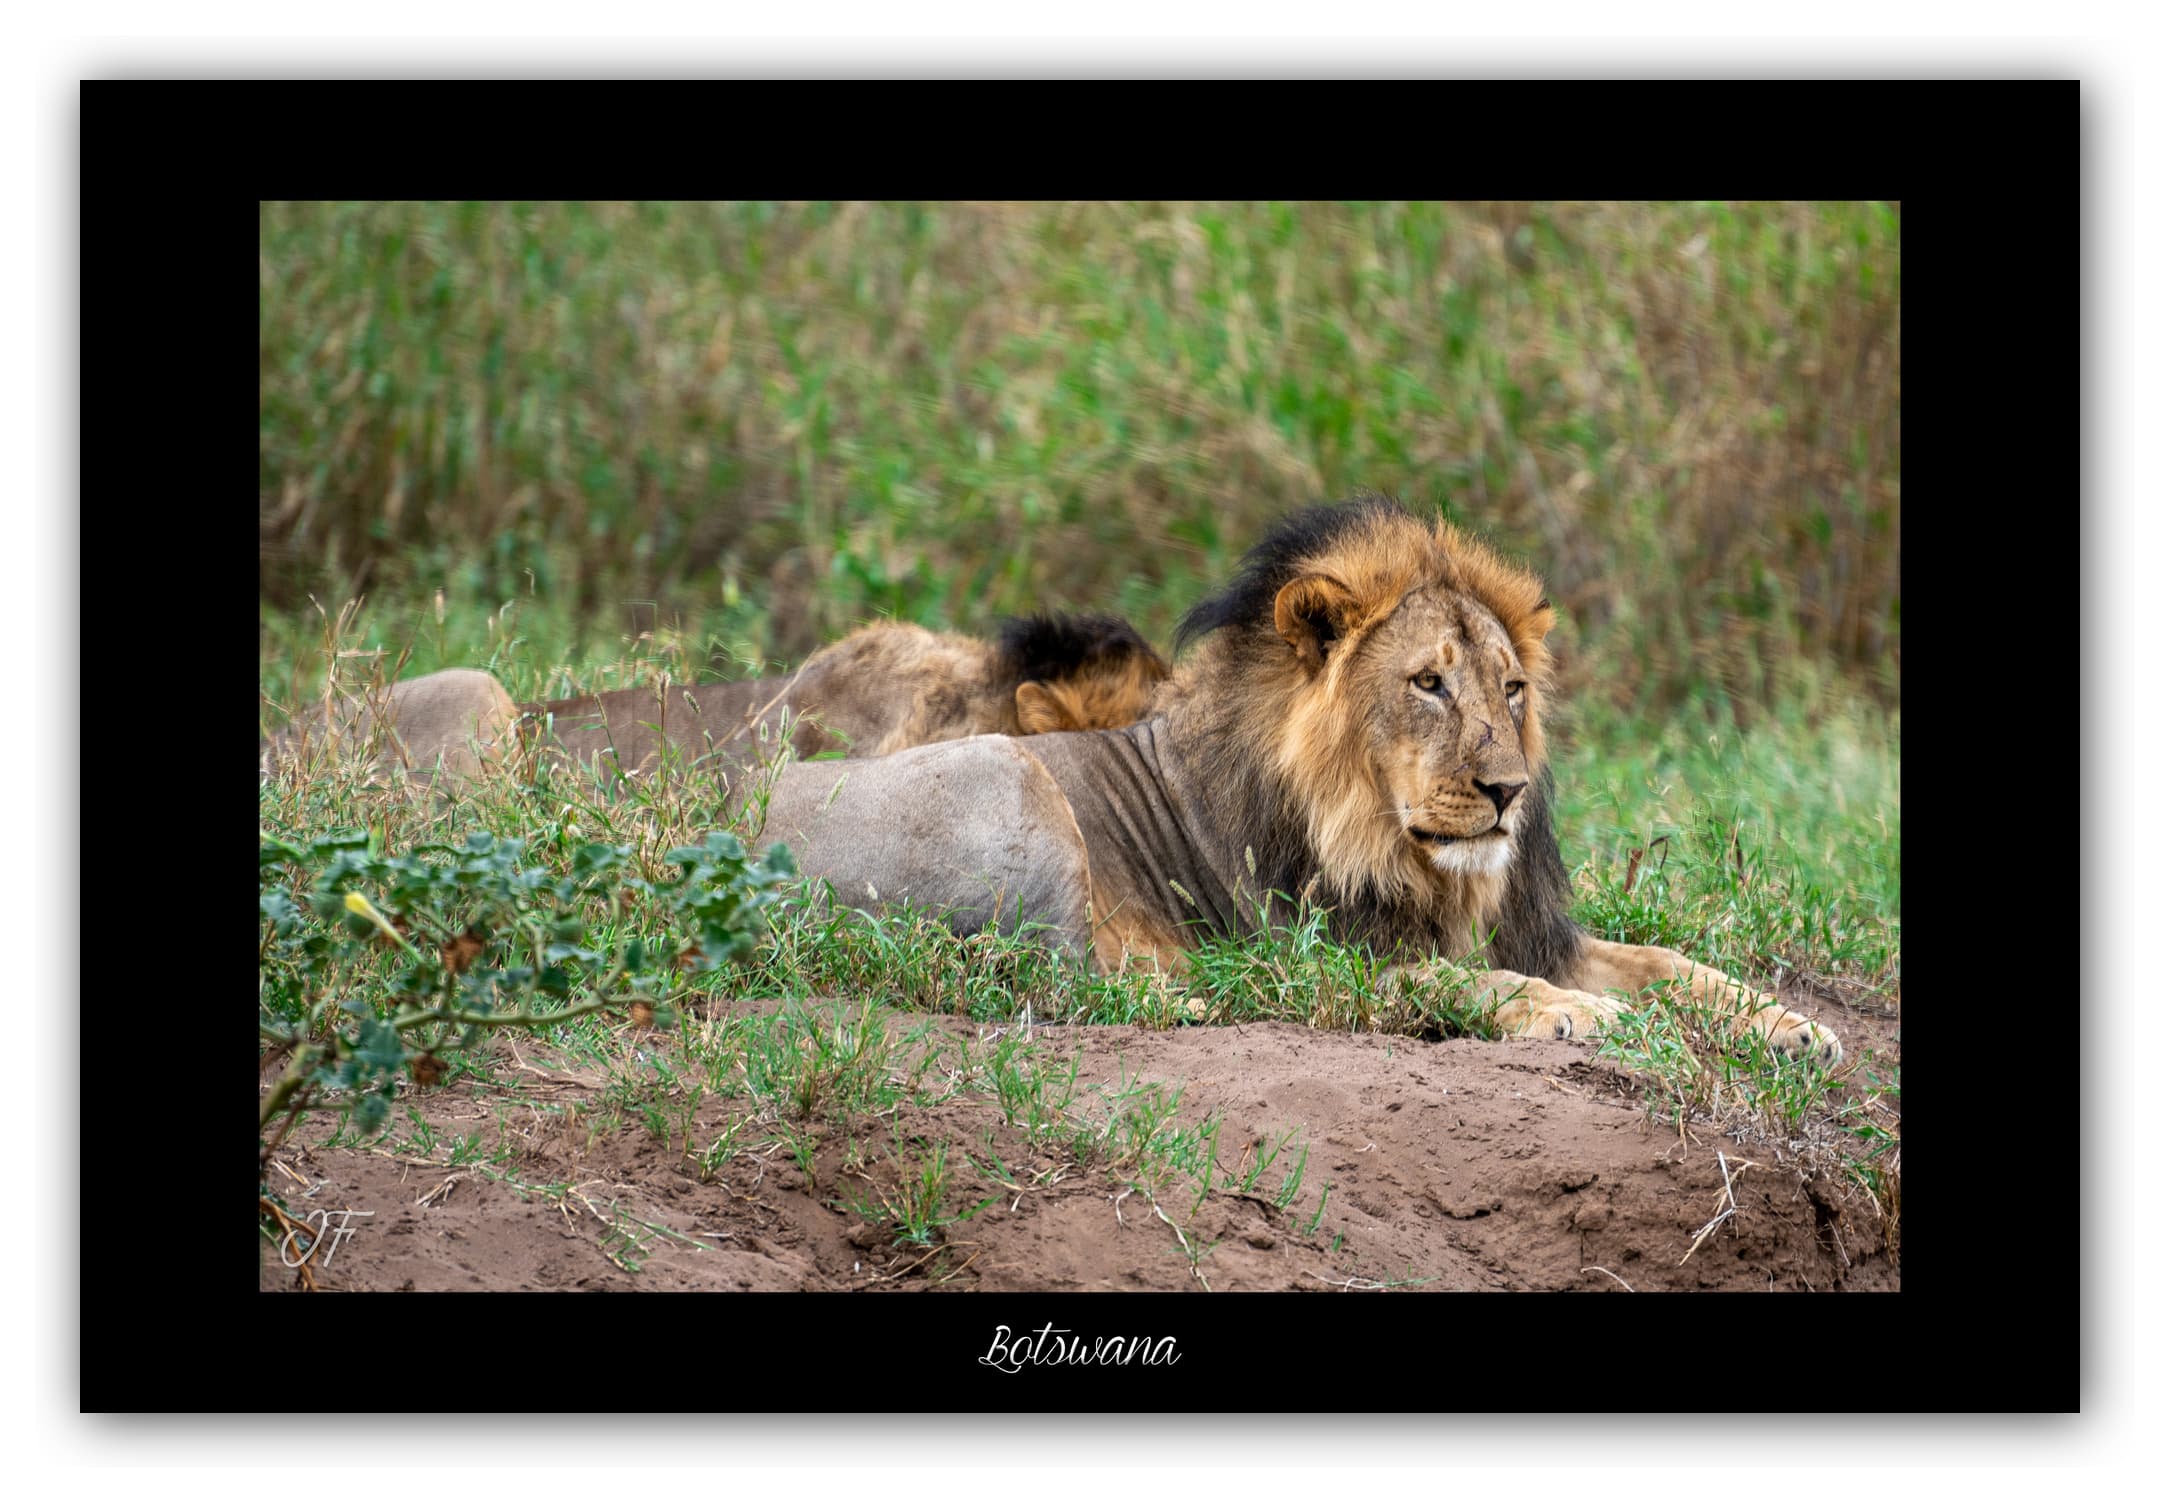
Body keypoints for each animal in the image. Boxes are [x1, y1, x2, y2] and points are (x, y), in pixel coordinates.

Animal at [754, 497, 1841, 1063]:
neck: (1416, 861)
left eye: (1512, 688)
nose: (1506, 793)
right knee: (1055, 978)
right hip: (1012, 774)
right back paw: (1199, 995)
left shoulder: (1539, 930)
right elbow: (1457, 980)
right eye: (1428, 684)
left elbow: (1672, 962)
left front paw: (1792, 1024)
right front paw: (1568, 1011)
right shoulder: (1317, 951)